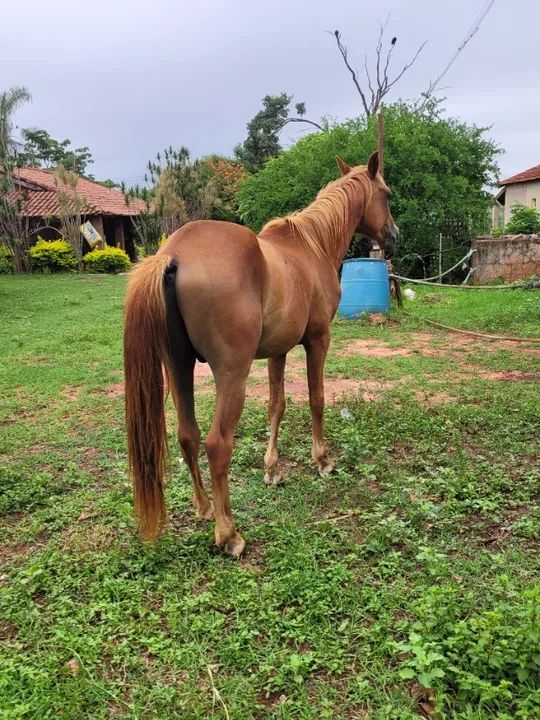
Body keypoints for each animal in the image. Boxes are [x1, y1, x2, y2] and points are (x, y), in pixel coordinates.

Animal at [124, 151, 398, 557]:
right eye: (386, 194)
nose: (393, 235)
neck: (311, 247)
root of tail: (174, 256)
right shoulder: (318, 340)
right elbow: (316, 399)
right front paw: (322, 460)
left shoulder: (277, 351)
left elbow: (276, 405)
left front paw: (272, 468)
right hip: (232, 375)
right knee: (216, 444)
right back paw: (229, 534)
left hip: (178, 367)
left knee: (188, 435)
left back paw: (204, 507)